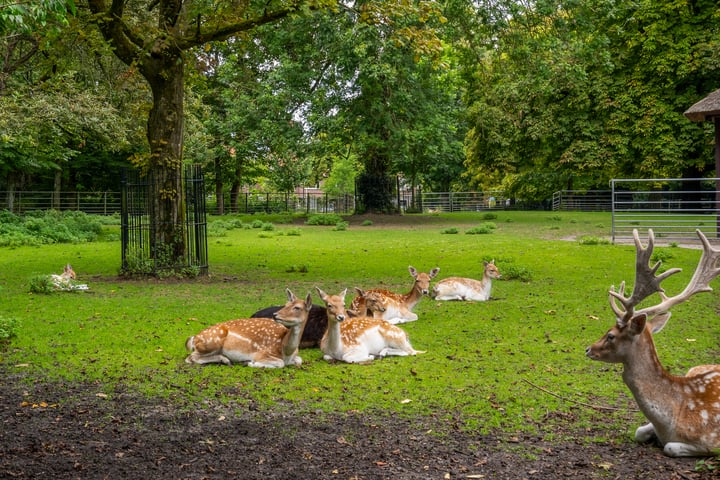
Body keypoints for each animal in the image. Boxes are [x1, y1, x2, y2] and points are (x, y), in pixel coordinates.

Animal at [584, 230, 720, 458]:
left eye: (611, 335)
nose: (588, 349)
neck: (671, 421)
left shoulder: (710, 440)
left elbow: (670, 447)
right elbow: (639, 431)